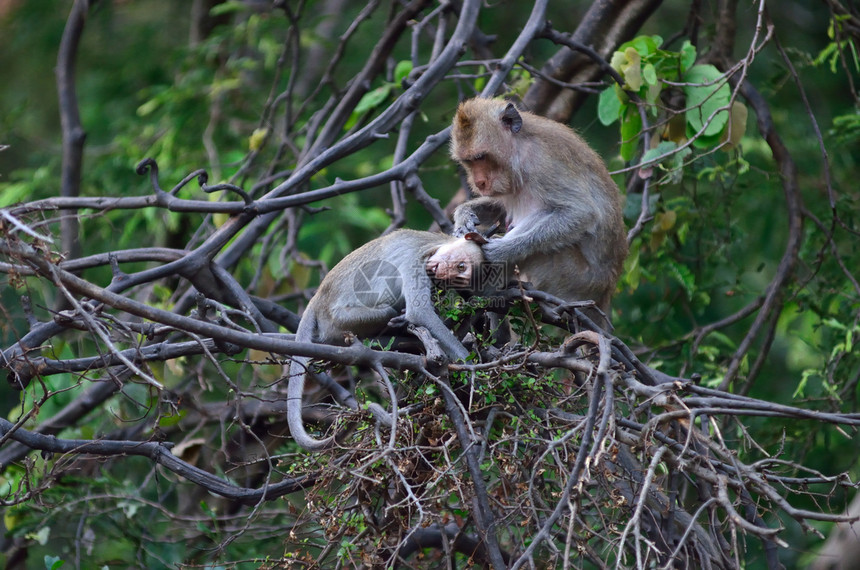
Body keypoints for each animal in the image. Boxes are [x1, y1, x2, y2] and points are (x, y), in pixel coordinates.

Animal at [288, 226, 484, 448]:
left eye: (458, 274)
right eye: (461, 266)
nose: (442, 272)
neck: (432, 243)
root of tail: (317, 299)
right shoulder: (414, 258)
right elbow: (420, 312)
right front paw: (470, 364)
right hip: (340, 321)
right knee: (387, 310)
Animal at [428, 98, 624, 328]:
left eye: (481, 157)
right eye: (468, 161)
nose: (479, 182)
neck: (520, 149)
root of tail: (605, 291)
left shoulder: (544, 163)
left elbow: (582, 213)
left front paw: (503, 250)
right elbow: (500, 207)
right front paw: (464, 216)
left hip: (574, 279)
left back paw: (484, 288)